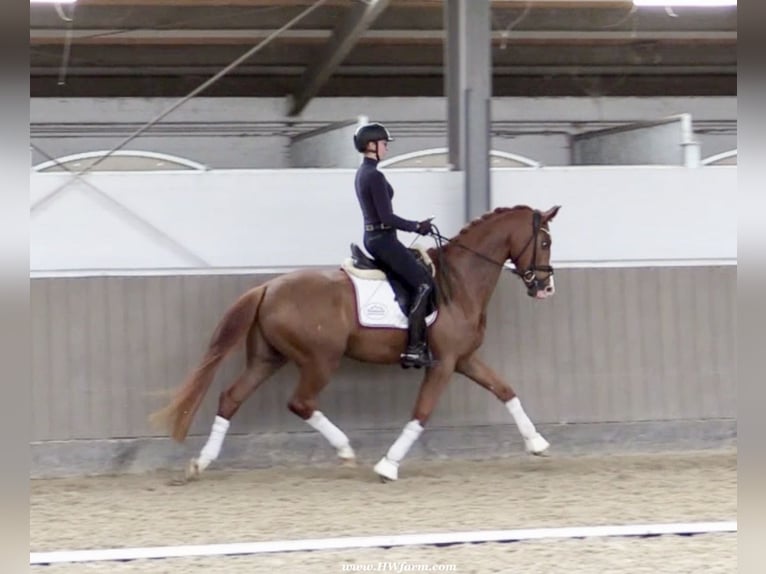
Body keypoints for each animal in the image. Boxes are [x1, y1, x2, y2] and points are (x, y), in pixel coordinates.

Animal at [153, 205, 564, 484]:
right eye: (545, 241)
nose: (546, 288)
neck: (458, 282)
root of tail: (267, 287)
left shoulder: (463, 358)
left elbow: (506, 390)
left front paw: (537, 443)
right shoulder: (445, 362)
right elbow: (422, 412)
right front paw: (388, 465)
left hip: (267, 359)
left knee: (230, 398)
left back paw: (201, 462)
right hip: (320, 359)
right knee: (300, 402)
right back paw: (346, 450)